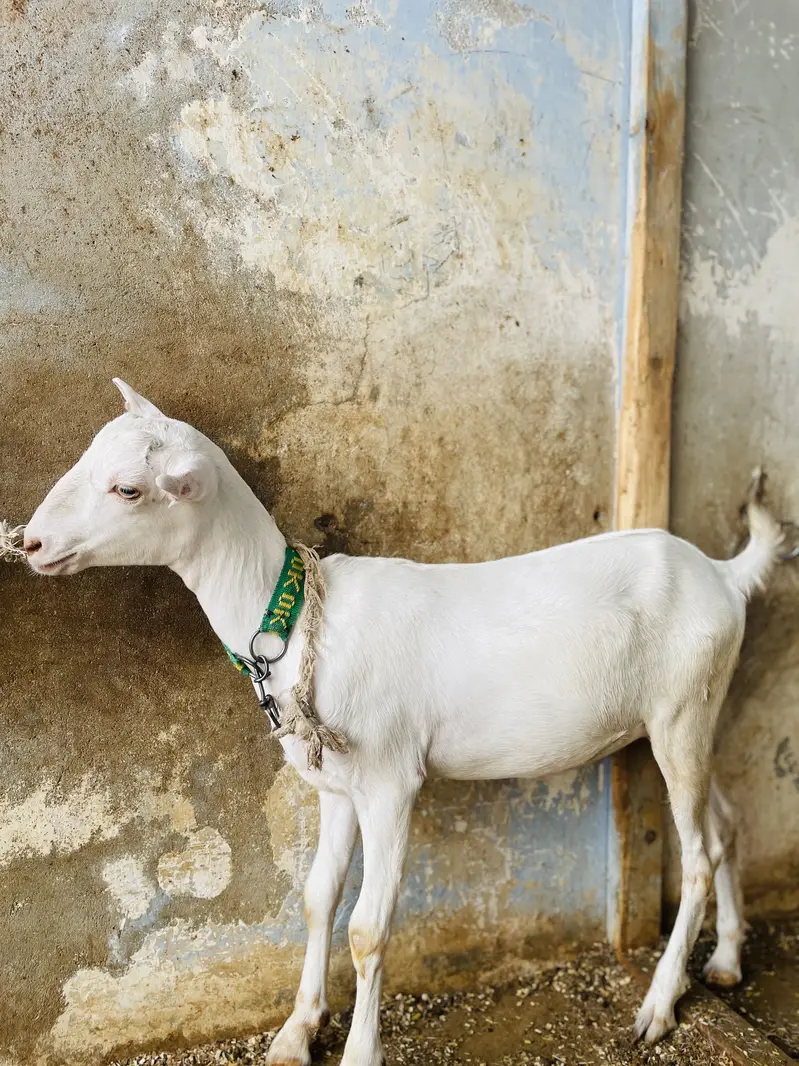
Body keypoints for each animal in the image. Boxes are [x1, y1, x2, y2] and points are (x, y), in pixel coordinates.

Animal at [24, 380, 783, 1066]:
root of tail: (724, 575)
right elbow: (317, 897)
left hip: (681, 710)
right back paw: (726, 961)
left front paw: (359, 1052)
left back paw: (657, 1004)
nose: (30, 542)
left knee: (697, 856)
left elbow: (368, 928)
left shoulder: (390, 779)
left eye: (127, 489)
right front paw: (295, 1033)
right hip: (692, 714)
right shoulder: (334, 785)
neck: (300, 623)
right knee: (725, 823)